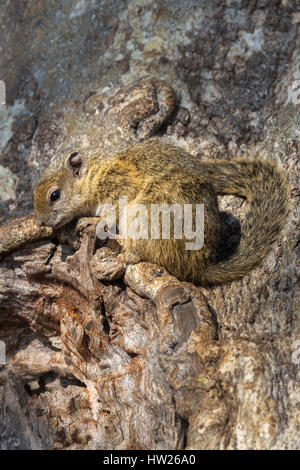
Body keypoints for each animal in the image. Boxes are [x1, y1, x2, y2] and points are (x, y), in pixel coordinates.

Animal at [34, 136, 290, 282]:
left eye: (55, 195)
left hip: (143, 217)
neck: (94, 173)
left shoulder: (118, 184)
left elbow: (111, 210)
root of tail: (199, 266)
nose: (41, 222)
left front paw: (93, 221)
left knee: (140, 255)